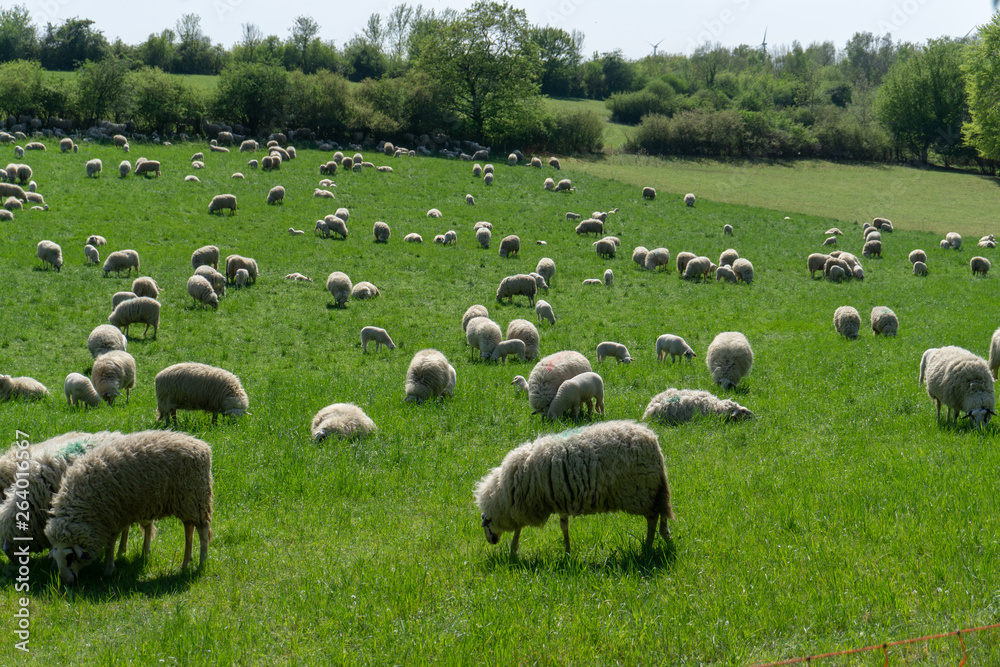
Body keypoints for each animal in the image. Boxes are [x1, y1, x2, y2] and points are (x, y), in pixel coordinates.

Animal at [45, 430, 212, 584]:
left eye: (70, 557)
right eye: (56, 558)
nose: (67, 581)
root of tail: (202, 446)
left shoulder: (112, 517)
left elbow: (110, 543)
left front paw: (108, 569)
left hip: (196, 497)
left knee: (203, 532)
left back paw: (201, 563)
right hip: (186, 503)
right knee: (188, 529)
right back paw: (185, 563)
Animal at [474, 420, 673, 555]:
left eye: (486, 524)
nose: (491, 541)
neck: (504, 494)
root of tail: (653, 441)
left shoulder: (526, 505)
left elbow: (519, 528)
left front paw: (513, 550)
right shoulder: (560, 498)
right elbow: (564, 526)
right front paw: (568, 551)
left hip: (641, 492)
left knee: (652, 517)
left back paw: (648, 545)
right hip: (654, 490)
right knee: (661, 515)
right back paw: (664, 537)